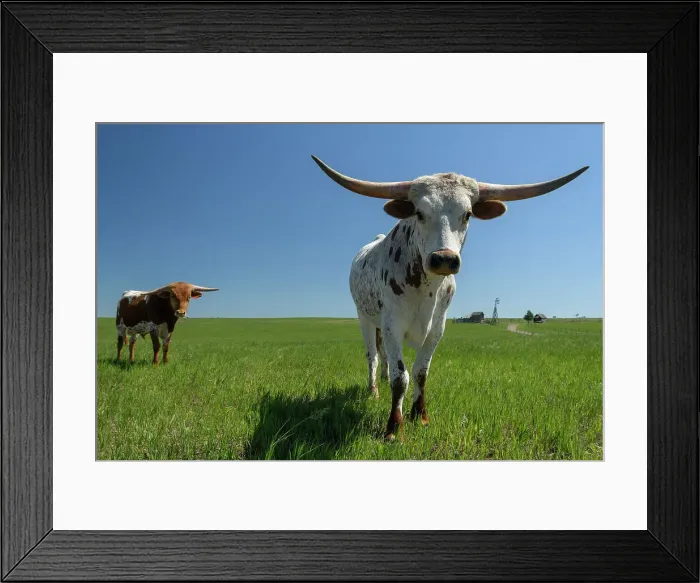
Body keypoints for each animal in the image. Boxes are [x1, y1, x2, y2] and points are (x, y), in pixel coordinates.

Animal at [312, 155, 588, 440]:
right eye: (419, 213)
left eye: (467, 214)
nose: (444, 258)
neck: (427, 289)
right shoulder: (392, 325)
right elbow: (401, 377)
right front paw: (394, 427)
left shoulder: (437, 328)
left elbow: (421, 372)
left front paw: (420, 416)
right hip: (365, 318)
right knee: (373, 357)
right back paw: (374, 390)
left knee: (385, 357)